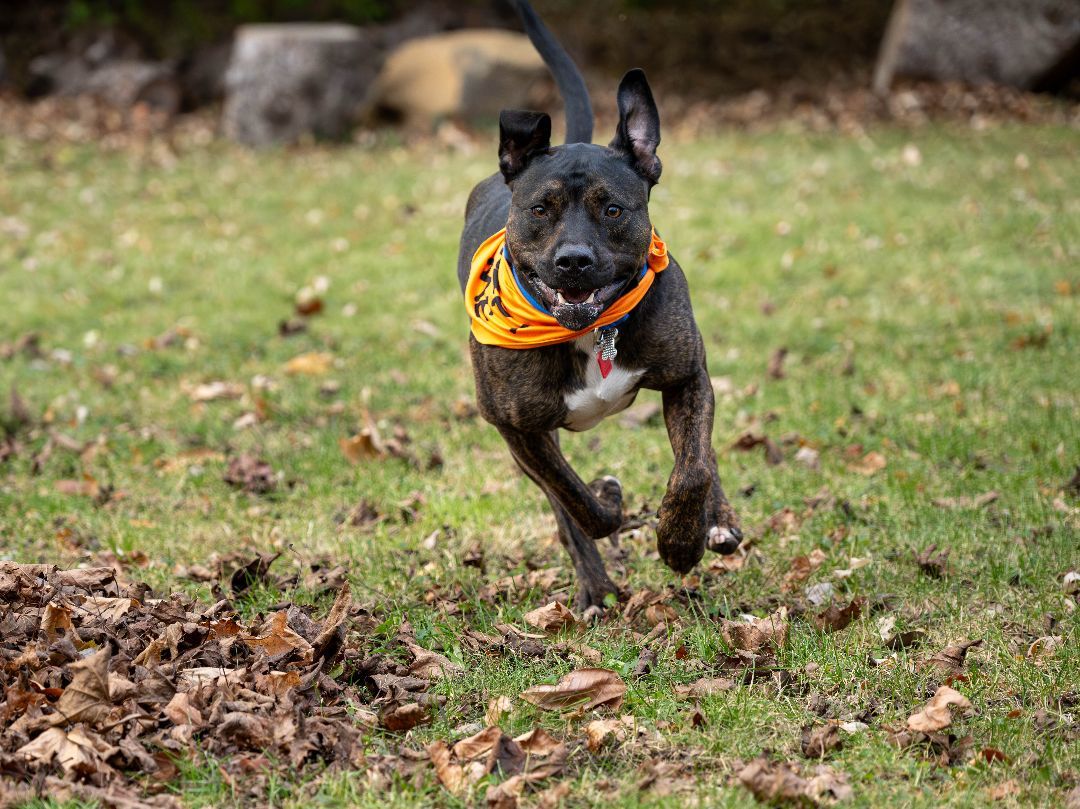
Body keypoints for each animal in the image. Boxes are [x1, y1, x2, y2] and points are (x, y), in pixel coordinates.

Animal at [455, 0, 743, 613]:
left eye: (612, 209)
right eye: (540, 209)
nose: (574, 261)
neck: (590, 331)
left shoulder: (688, 376)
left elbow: (692, 470)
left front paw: (680, 543)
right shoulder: (516, 428)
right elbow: (576, 502)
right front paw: (609, 502)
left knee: (702, 458)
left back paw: (718, 523)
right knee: (565, 510)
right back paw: (594, 587)